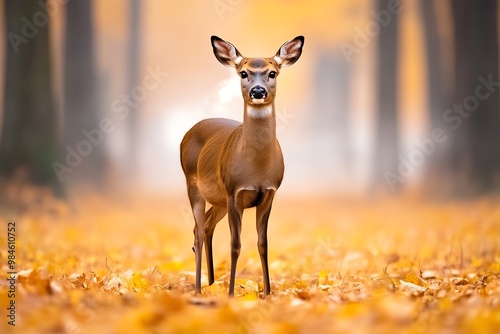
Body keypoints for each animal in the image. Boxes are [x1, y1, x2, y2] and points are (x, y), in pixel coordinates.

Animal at [181, 34, 304, 298]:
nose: (258, 91)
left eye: (272, 73)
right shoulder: (234, 192)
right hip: (193, 183)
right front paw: (230, 294)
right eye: (243, 73)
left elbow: (263, 244)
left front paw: (267, 294)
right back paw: (198, 289)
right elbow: (235, 245)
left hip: (219, 199)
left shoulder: (269, 193)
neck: (256, 168)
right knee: (198, 232)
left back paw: (211, 284)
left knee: (206, 227)